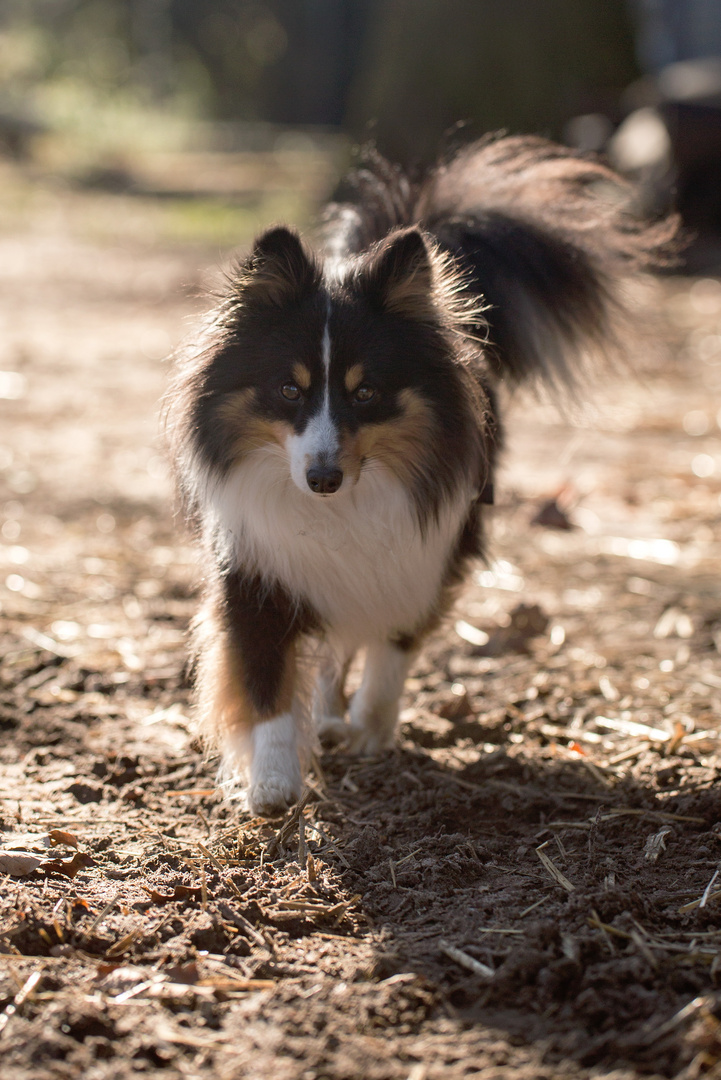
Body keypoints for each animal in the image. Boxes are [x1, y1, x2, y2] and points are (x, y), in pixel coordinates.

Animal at [166, 135, 677, 812]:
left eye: (366, 393)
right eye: (288, 389)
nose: (322, 478)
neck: (343, 504)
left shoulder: (421, 557)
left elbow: (390, 651)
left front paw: (370, 731)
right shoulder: (256, 572)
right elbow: (267, 681)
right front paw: (273, 785)